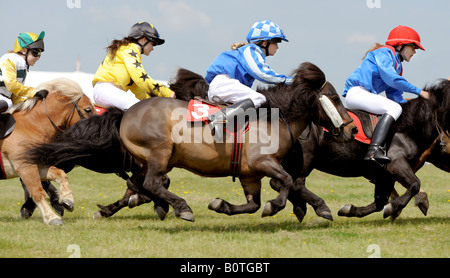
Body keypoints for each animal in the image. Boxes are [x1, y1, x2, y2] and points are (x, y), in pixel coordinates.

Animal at [3, 77, 96, 225]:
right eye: (88, 109)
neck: (30, 127)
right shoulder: (26, 168)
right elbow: (37, 192)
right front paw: (52, 217)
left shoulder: (38, 165)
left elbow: (59, 174)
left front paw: (67, 199)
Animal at [118, 62, 356, 222]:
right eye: (335, 97)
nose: (352, 129)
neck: (274, 117)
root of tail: (128, 113)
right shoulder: (263, 161)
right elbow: (287, 180)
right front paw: (274, 206)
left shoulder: (250, 175)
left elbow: (253, 204)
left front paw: (221, 205)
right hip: (161, 153)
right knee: (152, 183)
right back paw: (182, 207)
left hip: (153, 161)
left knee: (138, 183)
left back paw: (150, 203)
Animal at [270, 78, 450, 222]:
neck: (408, 127)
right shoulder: (396, 164)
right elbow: (414, 185)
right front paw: (395, 207)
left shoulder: (384, 174)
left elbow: (380, 202)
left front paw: (350, 210)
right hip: (305, 159)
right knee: (293, 183)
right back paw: (318, 207)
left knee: (280, 182)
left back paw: (299, 207)